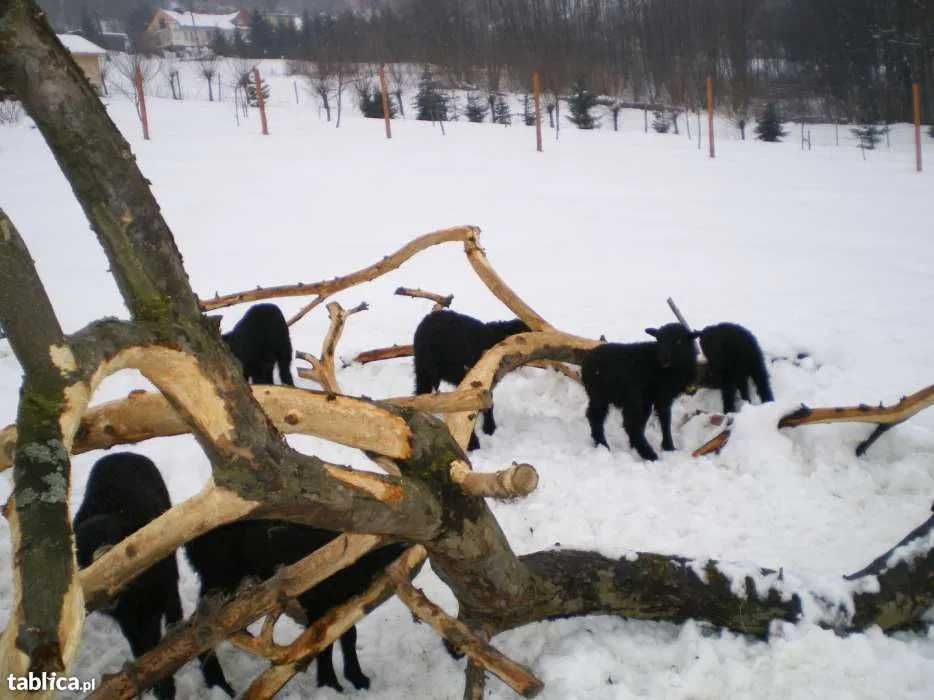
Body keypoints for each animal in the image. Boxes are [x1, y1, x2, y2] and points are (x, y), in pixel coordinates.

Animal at [73, 452, 183, 700]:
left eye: (116, 543)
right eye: (80, 560)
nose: (105, 597)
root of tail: (120, 453)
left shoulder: (167, 586)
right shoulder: (129, 619)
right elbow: (144, 649)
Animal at [186, 520, 410, 696]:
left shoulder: (341, 600)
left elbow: (348, 635)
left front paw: (358, 678)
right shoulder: (316, 601)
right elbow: (322, 642)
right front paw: (330, 684)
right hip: (219, 578)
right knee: (199, 626)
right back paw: (220, 684)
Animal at [414, 310, 532, 448]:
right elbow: (488, 403)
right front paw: (490, 428)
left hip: (422, 372)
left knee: (420, 396)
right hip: (458, 372)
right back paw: (473, 442)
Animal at [580, 324, 700, 464]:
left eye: (679, 341)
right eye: (659, 340)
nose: (664, 359)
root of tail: (587, 361)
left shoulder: (663, 398)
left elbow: (665, 419)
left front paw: (669, 447)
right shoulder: (659, 396)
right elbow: (664, 420)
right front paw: (668, 447)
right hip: (617, 396)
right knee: (620, 423)